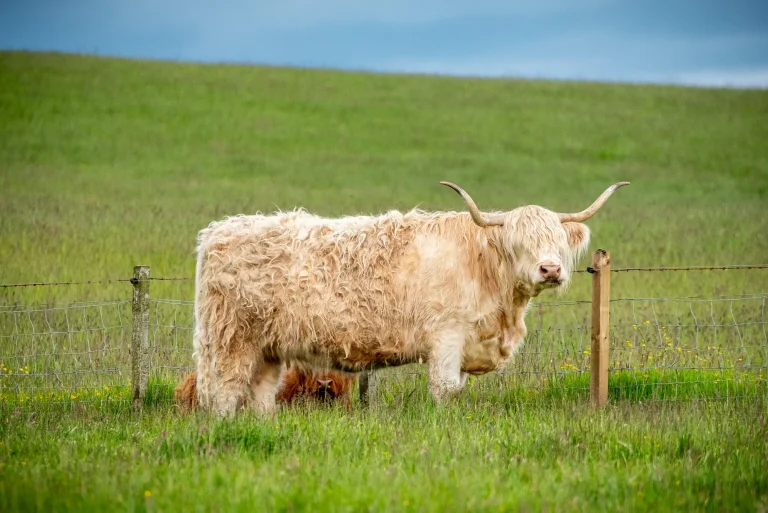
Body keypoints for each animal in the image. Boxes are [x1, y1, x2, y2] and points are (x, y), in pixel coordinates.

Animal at [192, 181, 629, 417]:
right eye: (520, 242)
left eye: (557, 241)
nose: (550, 269)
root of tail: (218, 232)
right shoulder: (447, 336)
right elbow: (446, 388)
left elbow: (456, 389)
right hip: (232, 340)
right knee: (225, 392)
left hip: (267, 347)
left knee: (260, 395)